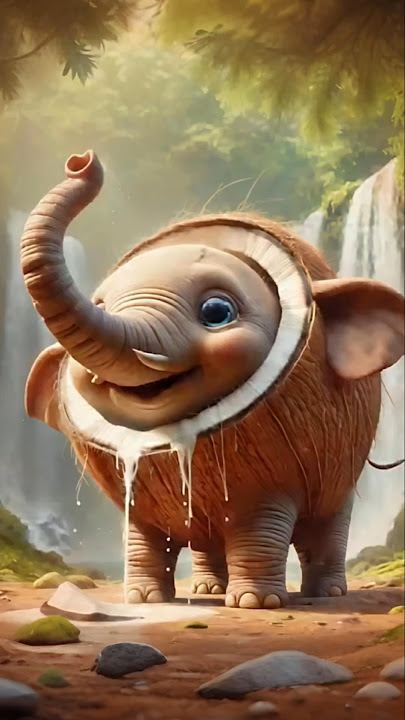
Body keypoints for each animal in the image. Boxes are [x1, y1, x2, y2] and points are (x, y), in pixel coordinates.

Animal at [20, 150, 405, 609]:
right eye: (100, 304)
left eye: (217, 312)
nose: (81, 161)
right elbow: (142, 537)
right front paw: (143, 600)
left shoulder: (270, 479)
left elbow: (261, 528)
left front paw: (255, 603)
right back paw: (207, 589)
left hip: (343, 473)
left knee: (328, 527)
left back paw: (325, 592)